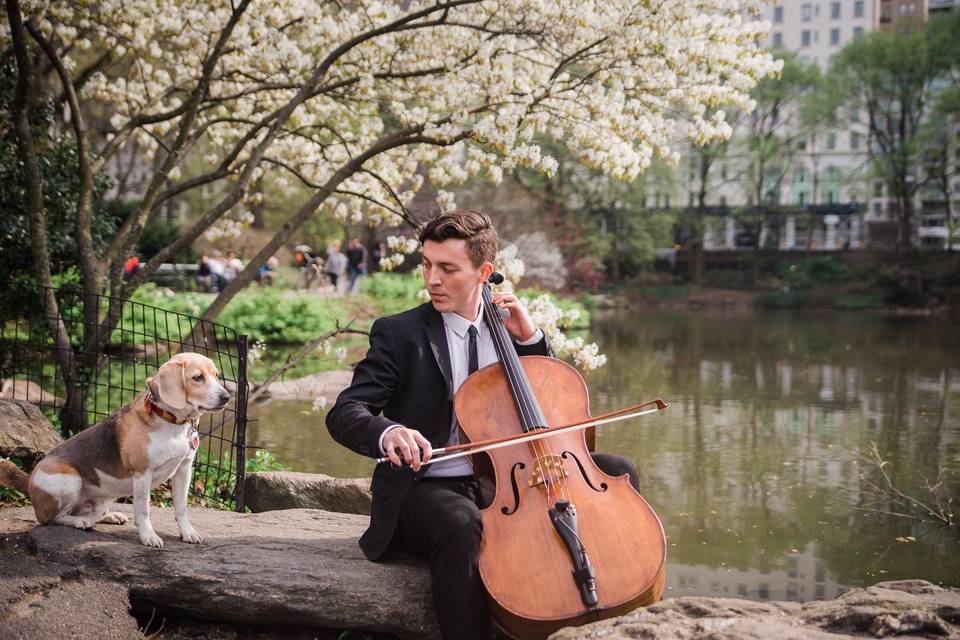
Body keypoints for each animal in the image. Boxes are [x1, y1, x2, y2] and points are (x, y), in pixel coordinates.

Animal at [0, 352, 232, 548]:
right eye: (197, 377)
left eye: (216, 375)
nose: (227, 397)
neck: (172, 421)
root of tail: (29, 481)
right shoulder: (142, 474)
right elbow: (144, 510)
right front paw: (148, 536)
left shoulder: (184, 470)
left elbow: (181, 508)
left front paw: (187, 532)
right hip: (69, 479)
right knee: (51, 518)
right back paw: (80, 522)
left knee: (92, 513)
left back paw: (110, 516)